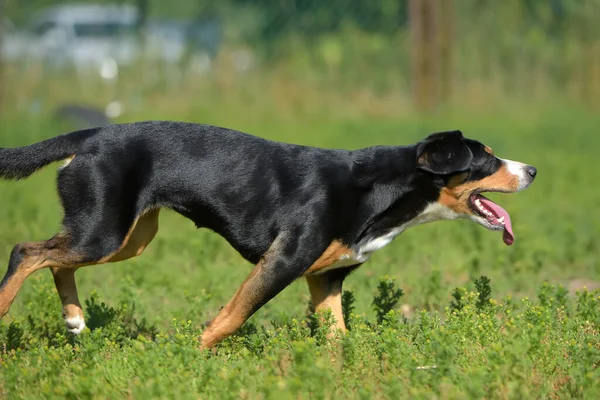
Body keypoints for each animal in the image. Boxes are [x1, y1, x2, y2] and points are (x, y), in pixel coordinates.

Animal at [0, 122, 536, 346]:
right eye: (486, 158)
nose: (531, 170)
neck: (384, 188)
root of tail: (90, 135)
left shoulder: (325, 281)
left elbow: (339, 341)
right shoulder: (282, 261)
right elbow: (229, 320)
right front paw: (190, 358)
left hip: (124, 237)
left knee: (55, 259)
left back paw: (74, 319)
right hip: (104, 231)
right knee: (26, 251)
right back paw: (7, 308)